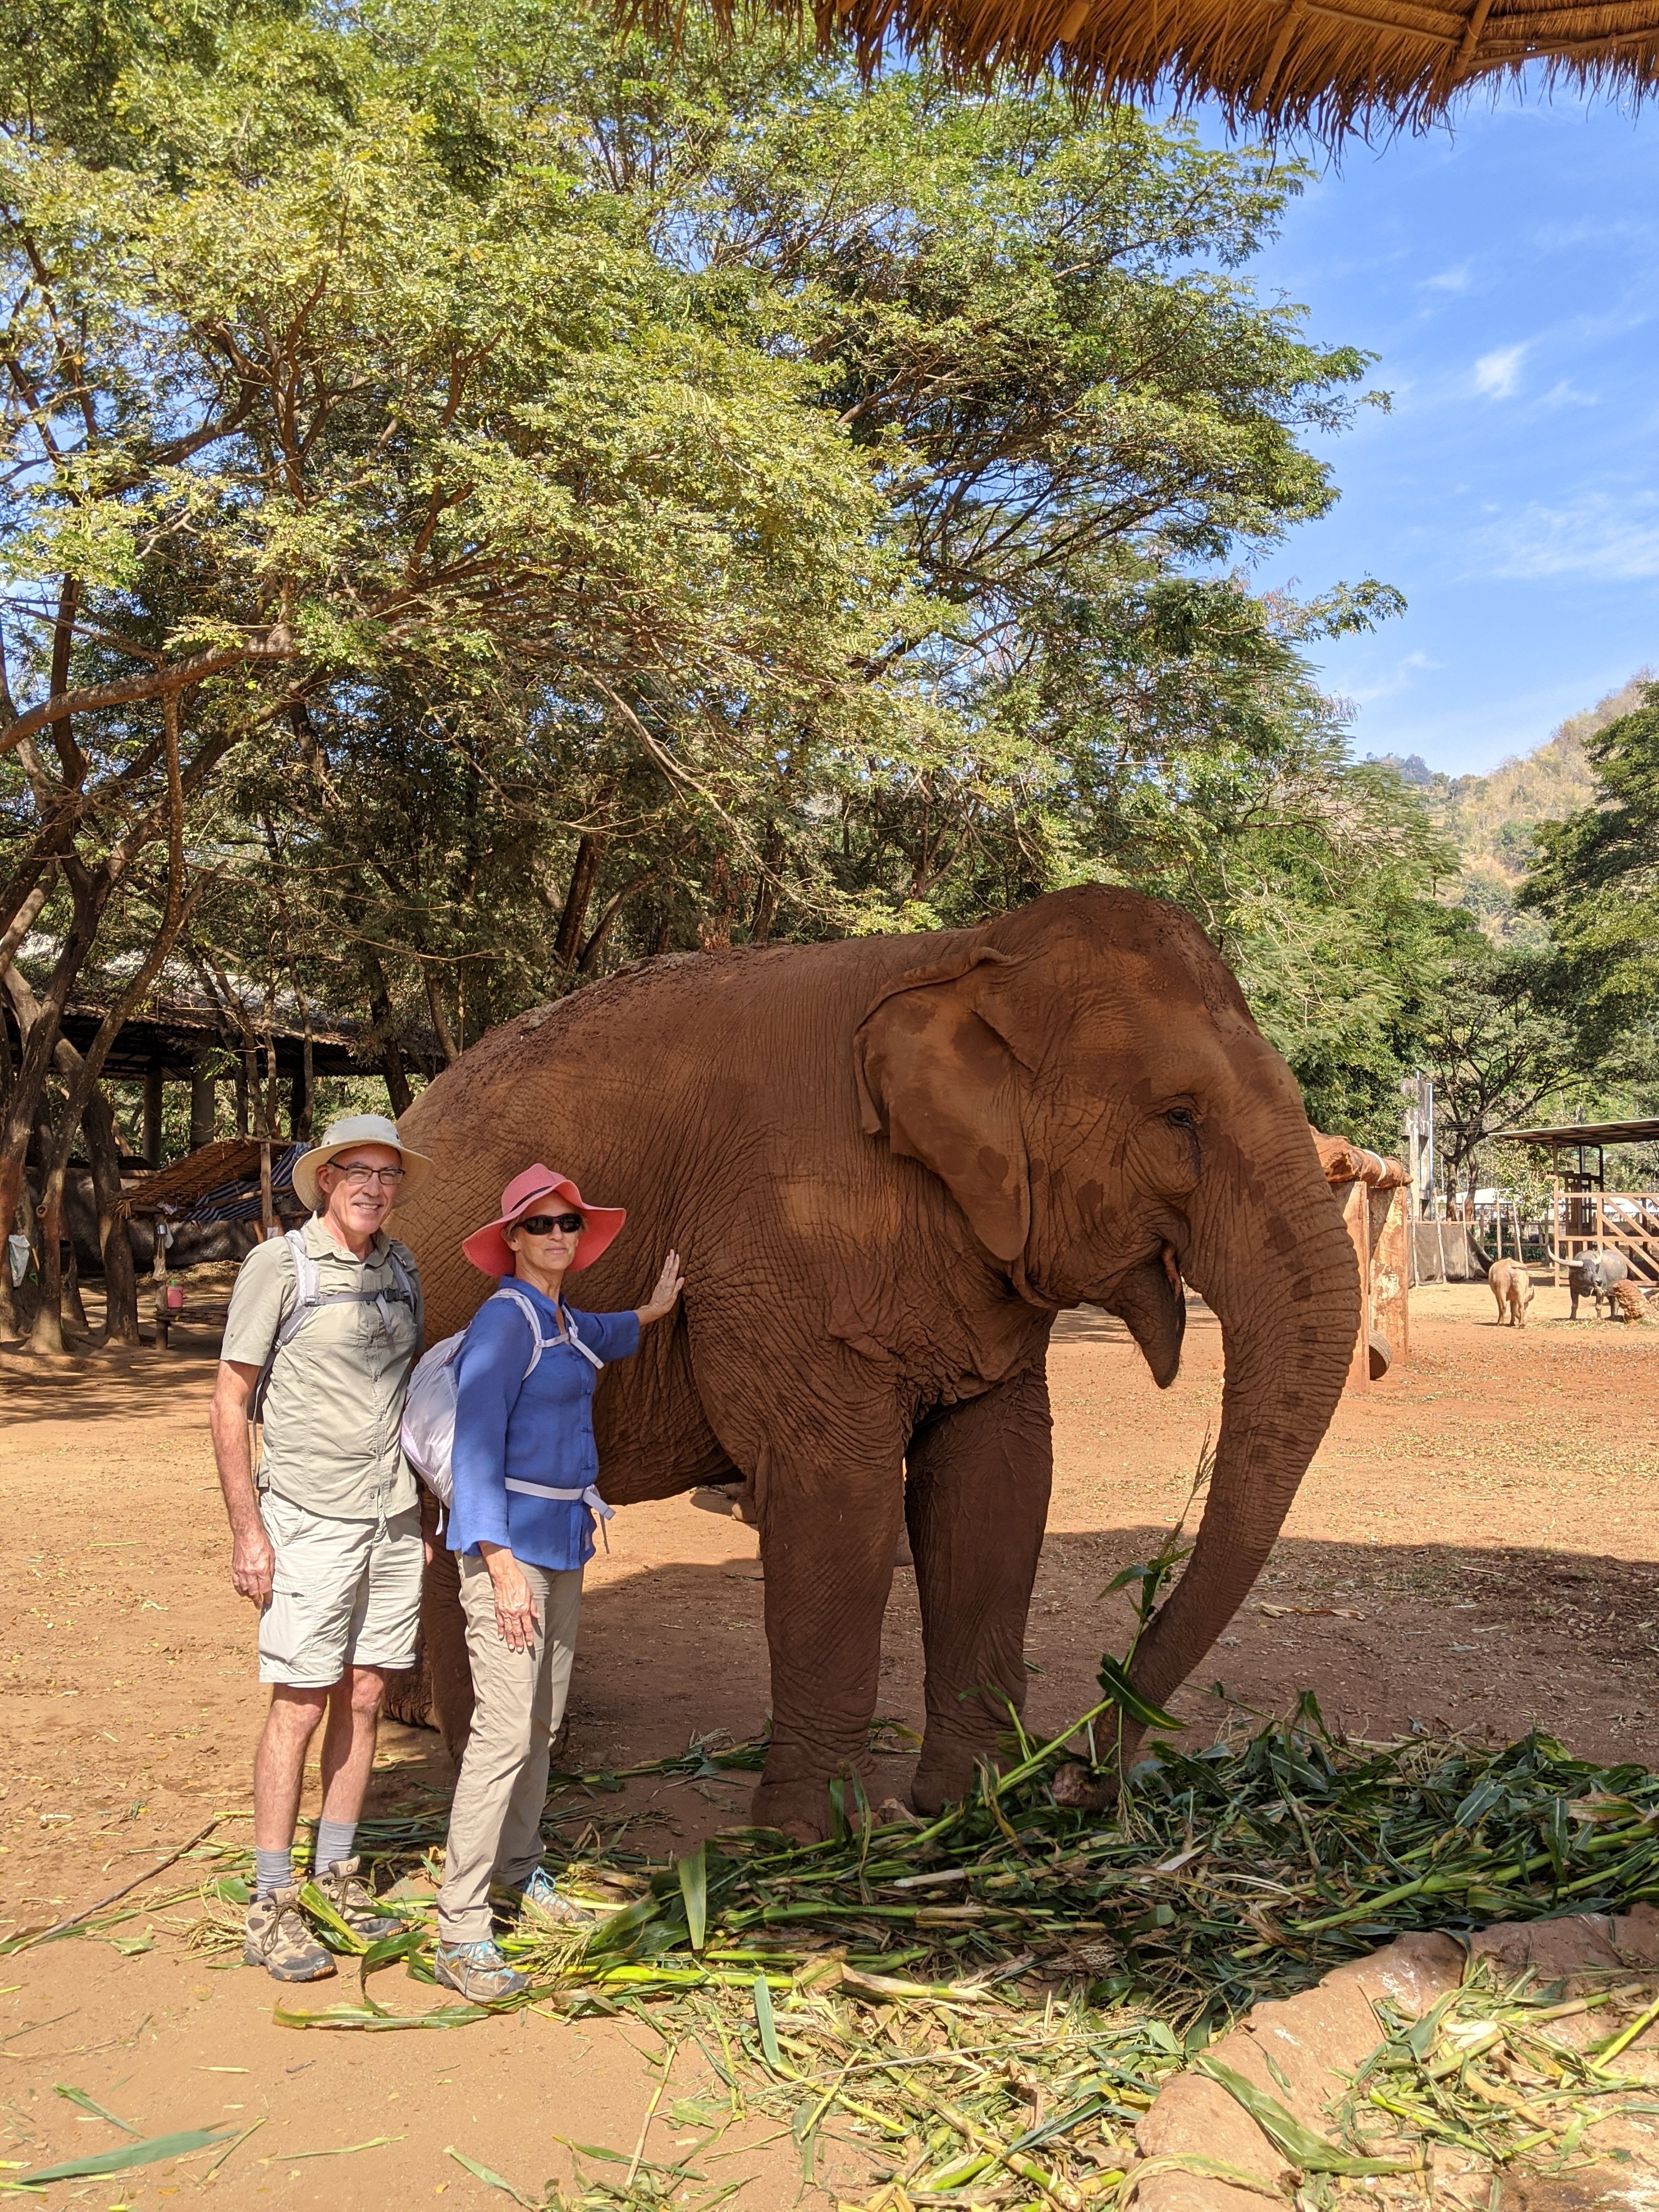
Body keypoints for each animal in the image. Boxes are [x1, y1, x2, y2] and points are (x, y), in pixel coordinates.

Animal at [390, 883, 1361, 1839]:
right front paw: (816, 1836)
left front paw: (975, 1804)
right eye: (1179, 1117)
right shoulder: (787, 1236)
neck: (965, 957)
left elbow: (997, 1481)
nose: (1079, 1779)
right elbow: (838, 1492)